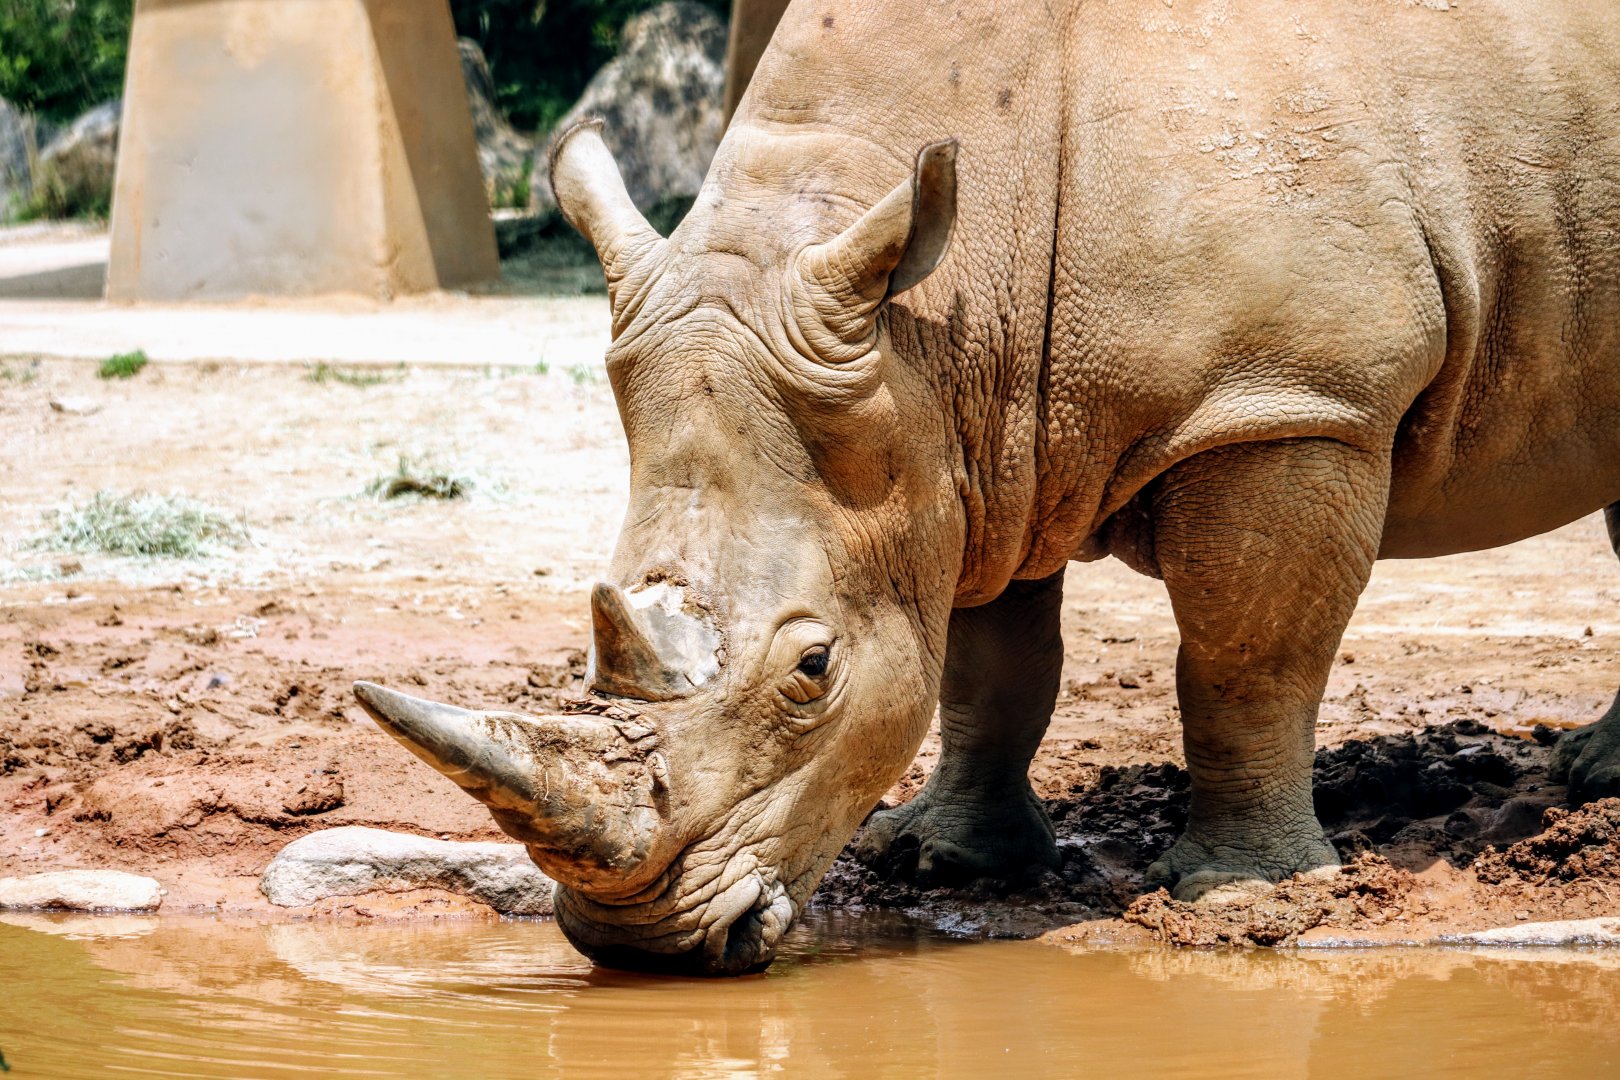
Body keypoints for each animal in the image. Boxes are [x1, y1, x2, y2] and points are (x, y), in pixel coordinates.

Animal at [354, 0, 1620, 973]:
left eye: (812, 673)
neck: (942, 317)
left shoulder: (1287, 400)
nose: (641, 948)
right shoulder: (965, 439)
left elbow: (1245, 660)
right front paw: (946, 857)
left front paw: (1245, 897)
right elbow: (986, 665)